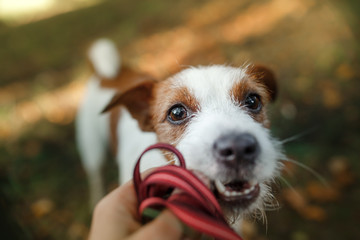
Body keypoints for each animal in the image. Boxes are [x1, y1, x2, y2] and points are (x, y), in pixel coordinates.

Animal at [76, 39, 284, 225]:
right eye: (176, 113)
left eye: (253, 101)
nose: (238, 148)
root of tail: (108, 75)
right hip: (92, 148)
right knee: (95, 175)